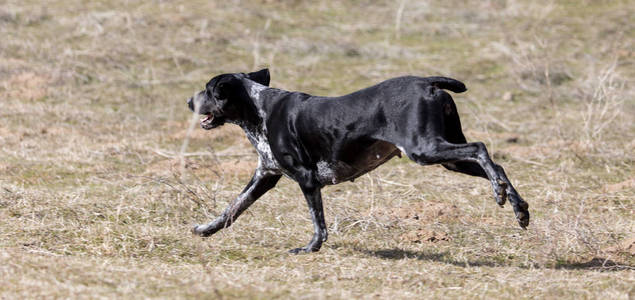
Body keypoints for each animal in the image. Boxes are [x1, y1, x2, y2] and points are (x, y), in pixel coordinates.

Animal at [186, 68, 528, 253]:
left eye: (208, 90)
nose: (189, 101)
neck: (258, 108)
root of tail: (427, 82)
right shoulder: (265, 176)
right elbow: (233, 208)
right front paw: (206, 229)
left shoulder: (306, 178)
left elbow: (318, 224)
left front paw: (310, 248)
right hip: (447, 157)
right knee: (497, 165)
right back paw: (518, 208)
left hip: (424, 150)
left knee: (480, 148)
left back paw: (500, 194)